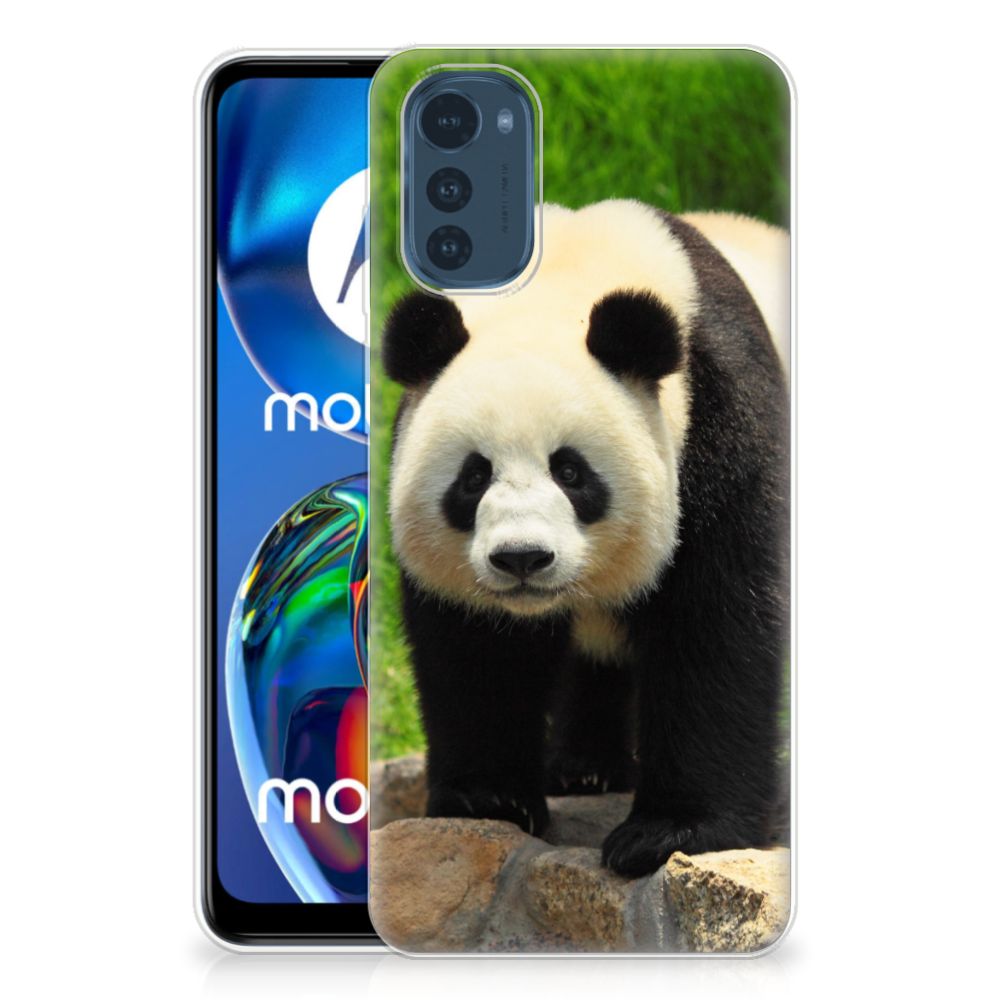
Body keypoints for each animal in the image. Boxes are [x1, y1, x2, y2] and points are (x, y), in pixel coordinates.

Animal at [381, 199, 789, 878]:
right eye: (473, 476)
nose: (522, 558)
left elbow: (716, 624)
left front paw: (669, 832)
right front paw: (488, 799)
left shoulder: (721, 423)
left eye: (570, 472)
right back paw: (584, 768)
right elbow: (476, 649)